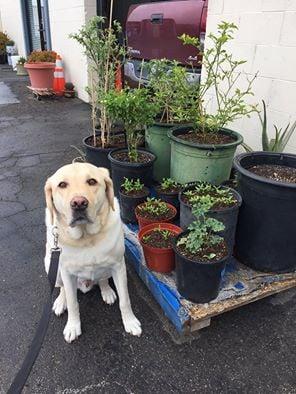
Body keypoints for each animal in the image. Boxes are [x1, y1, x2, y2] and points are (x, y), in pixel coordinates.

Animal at [43, 162, 142, 342]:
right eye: (62, 185)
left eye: (92, 181)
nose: (79, 203)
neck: (86, 237)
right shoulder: (66, 272)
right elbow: (73, 303)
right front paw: (72, 326)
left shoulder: (118, 266)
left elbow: (125, 299)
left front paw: (130, 322)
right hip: (50, 264)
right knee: (61, 288)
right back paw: (61, 302)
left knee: (102, 279)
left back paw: (107, 291)